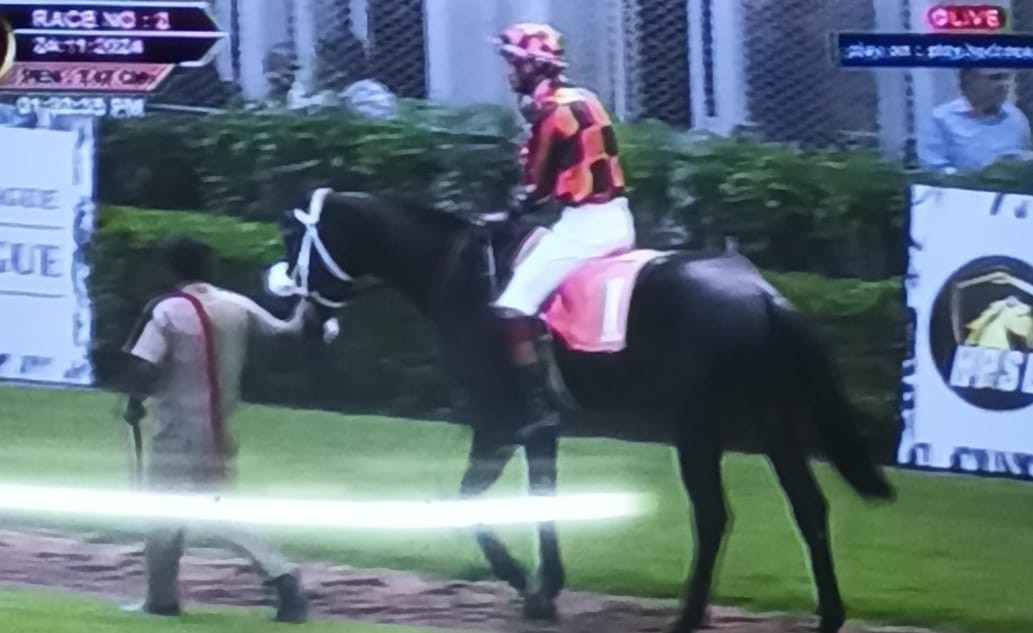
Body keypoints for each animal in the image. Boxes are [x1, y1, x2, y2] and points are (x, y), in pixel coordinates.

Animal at [263, 187, 895, 633]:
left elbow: (469, 498)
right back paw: (829, 615)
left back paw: (688, 616)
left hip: (696, 428)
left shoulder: (497, 417)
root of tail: (766, 297)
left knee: (714, 515)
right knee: (808, 507)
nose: (300, 316)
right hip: (774, 423)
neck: (460, 270)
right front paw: (545, 588)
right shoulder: (538, 425)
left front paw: (523, 582)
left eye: (297, 248)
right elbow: (543, 495)